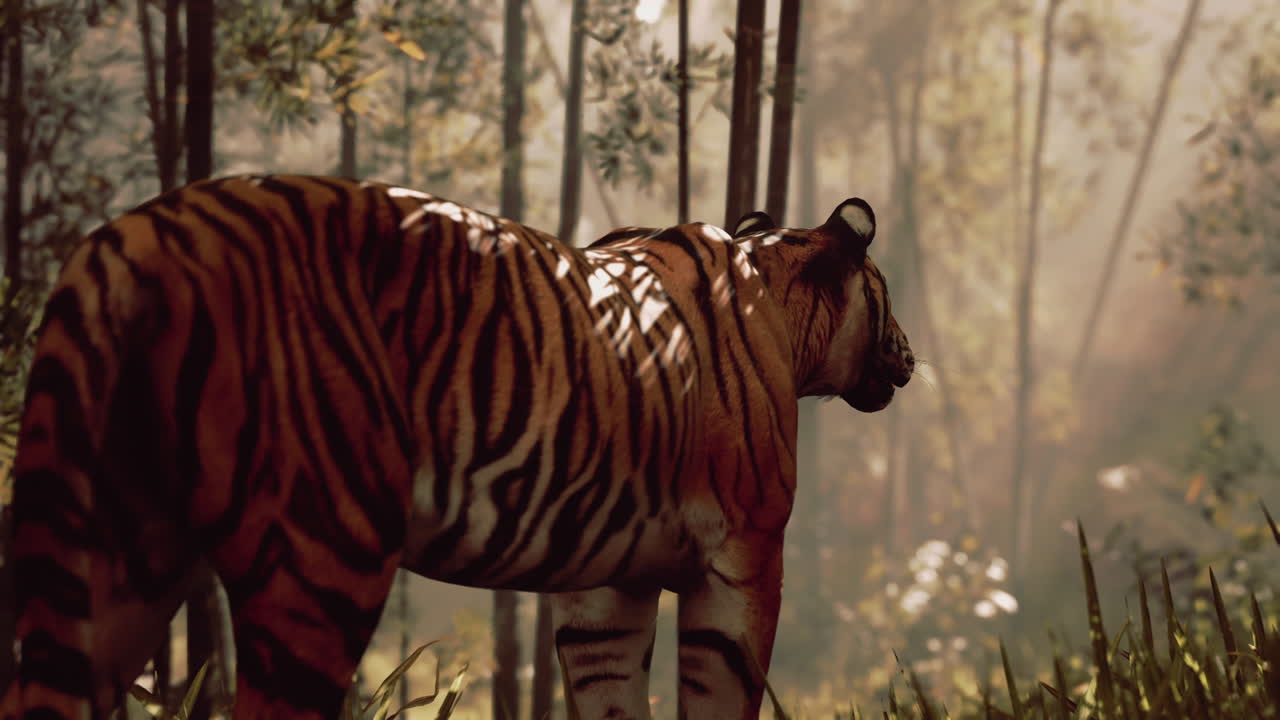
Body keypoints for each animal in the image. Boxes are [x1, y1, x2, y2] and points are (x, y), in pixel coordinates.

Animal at [0, 174, 912, 720]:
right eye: (887, 294)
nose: (907, 354)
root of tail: (139, 238)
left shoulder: (606, 587)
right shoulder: (744, 558)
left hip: (108, 558)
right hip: (322, 557)